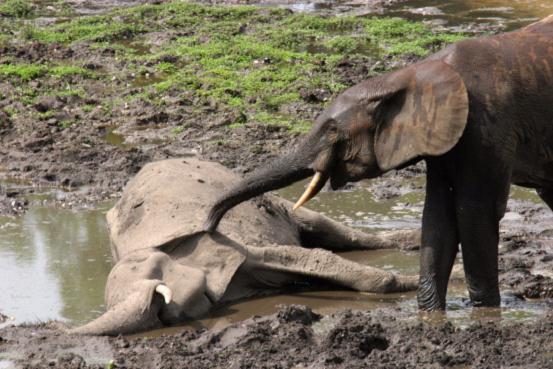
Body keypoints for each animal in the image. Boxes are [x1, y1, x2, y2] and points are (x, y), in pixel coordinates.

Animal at [71, 158, 416, 336]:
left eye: (155, 271)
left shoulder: (224, 242)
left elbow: (310, 256)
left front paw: (420, 281)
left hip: (278, 202)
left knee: (334, 232)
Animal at [205, 15, 552, 310]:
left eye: (332, 131)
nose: (209, 227)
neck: (410, 76)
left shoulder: (489, 126)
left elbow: (474, 213)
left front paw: (485, 314)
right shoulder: (441, 135)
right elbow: (438, 216)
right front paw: (430, 316)